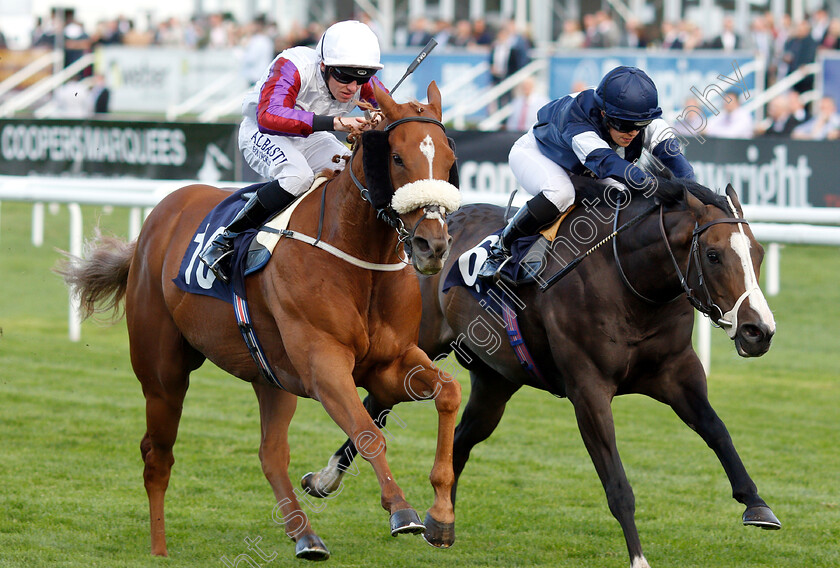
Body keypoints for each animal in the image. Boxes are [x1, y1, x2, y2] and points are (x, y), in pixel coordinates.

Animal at [59, 83, 466, 560]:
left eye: (449, 159)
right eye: (397, 157)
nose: (432, 246)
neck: (357, 256)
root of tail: (156, 219)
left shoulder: (389, 362)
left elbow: (448, 394)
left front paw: (441, 516)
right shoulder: (323, 365)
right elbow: (368, 433)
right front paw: (401, 510)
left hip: (270, 375)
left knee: (270, 453)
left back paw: (305, 536)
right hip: (162, 373)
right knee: (157, 456)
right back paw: (159, 549)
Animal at [298, 174, 776, 568]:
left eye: (757, 253)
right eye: (713, 255)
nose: (759, 331)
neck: (631, 281)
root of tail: (420, 238)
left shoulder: (678, 371)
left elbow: (717, 430)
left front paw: (756, 504)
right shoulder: (588, 390)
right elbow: (617, 483)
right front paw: (639, 558)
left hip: (495, 380)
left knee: (461, 438)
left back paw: (436, 520)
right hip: (414, 344)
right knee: (376, 404)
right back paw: (329, 481)